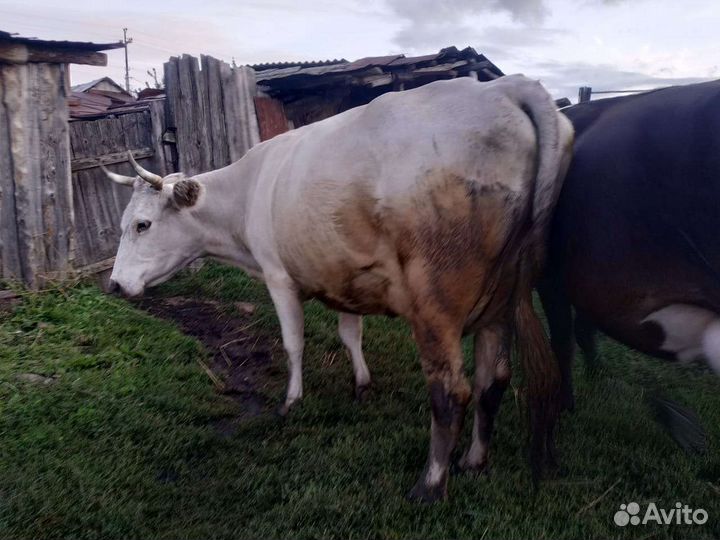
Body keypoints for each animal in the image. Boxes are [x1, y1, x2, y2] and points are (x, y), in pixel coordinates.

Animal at [103, 75, 574, 502]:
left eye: (142, 224)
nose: (114, 284)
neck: (249, 190)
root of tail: (506, 86)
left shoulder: (278, 276)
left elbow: (293, 343)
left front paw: (291, 401)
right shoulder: (347, 275)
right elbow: (351, 335)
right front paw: (362, 384)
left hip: (436, 304)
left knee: (450, 392)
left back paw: (430, 485)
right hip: (501, 303)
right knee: (492, 381)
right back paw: (474, 461)